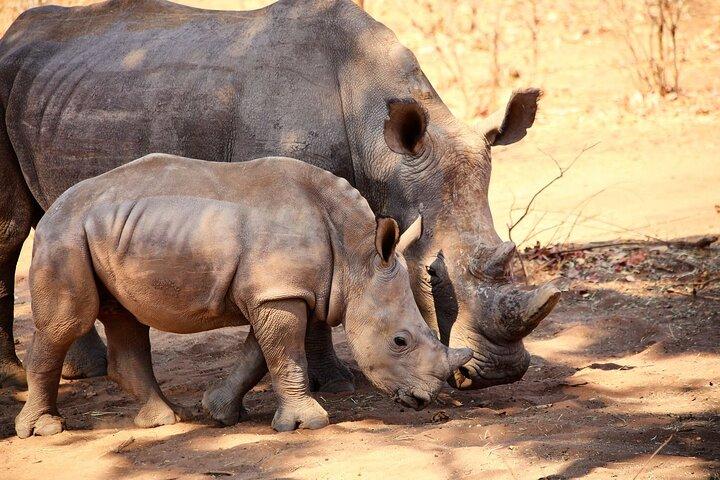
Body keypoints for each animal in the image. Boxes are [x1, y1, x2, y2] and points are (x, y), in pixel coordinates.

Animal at [0, 0, 558, 392]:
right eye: (433, 276)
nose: (502, 374)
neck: (384, 150)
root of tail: (14, 35)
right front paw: (333, 384)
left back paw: (84, 371)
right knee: (11, 230)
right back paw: (16, 376)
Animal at [15, 153, 472, 437]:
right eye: (400, 341)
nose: (424, 399)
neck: (356, 253)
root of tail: (54, 206)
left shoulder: (275, 292)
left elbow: (260, 356)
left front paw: (219, 413)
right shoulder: (278, 294)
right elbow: (286, 355)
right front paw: (308, 424)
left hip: (110, 231)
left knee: (124, 317)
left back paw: (166, 420)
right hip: (64, 235)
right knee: (68, 321)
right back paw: (44, 429)